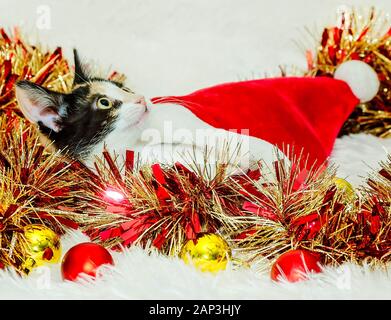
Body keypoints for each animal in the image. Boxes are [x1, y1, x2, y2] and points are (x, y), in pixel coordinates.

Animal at [15, 50, 284, 174]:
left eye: (124, 88)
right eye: (104, 103)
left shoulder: (177, 115)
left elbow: (214, 135)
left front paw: (263, 157)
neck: (139, 141)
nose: (140, 99)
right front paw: (231, 166)